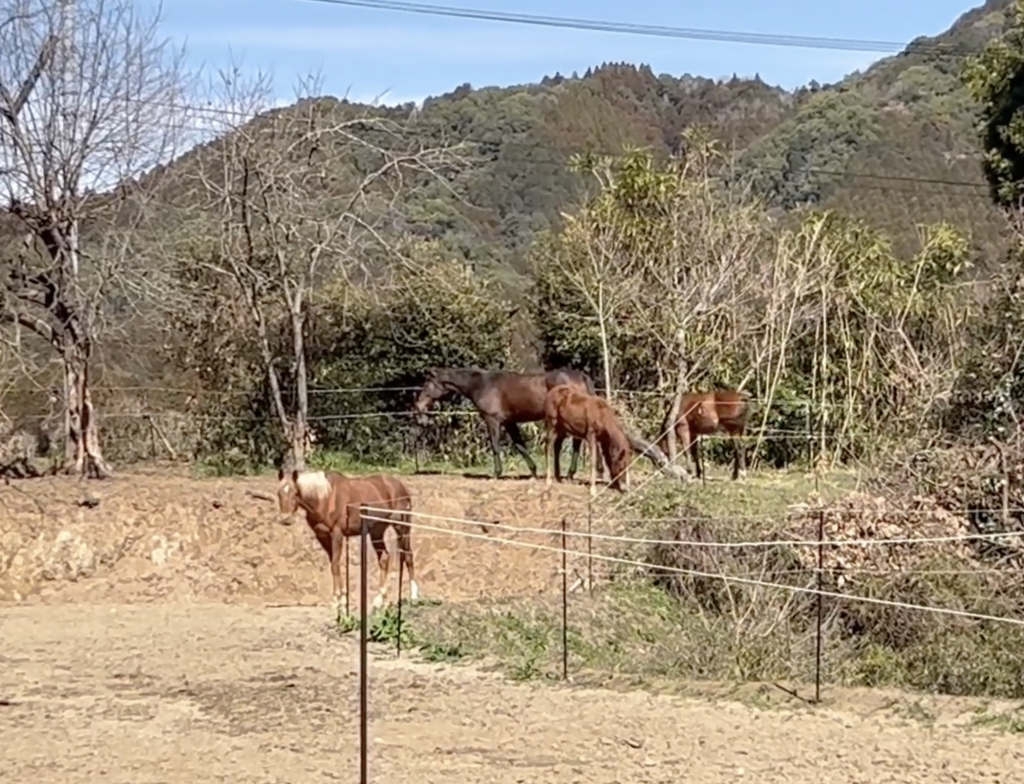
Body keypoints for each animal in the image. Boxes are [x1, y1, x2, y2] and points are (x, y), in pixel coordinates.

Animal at [276, 468, 418, 610]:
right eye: (279, 493)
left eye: (295, 493)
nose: (286, 519)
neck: (325, 499)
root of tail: (400, 486)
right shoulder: (323, 537)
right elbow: (334, 564)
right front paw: (341, 599)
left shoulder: (337, 534)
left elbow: (335, 565)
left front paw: (337, 599)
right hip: (377, 531)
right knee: (384, 558)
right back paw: (379, 600)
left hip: (402, 527)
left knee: (408, 555)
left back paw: (414, 596)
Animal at [413, 366, 599, 480]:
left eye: (426, 385)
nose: (419, 407)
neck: (481, 385)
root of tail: (580, 375)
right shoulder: (510, 423)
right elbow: (520, 446)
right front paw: (533, 472)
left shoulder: (492, 420)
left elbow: (495, 446)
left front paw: (496, 474)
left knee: (576, 442)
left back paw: (568, 474)